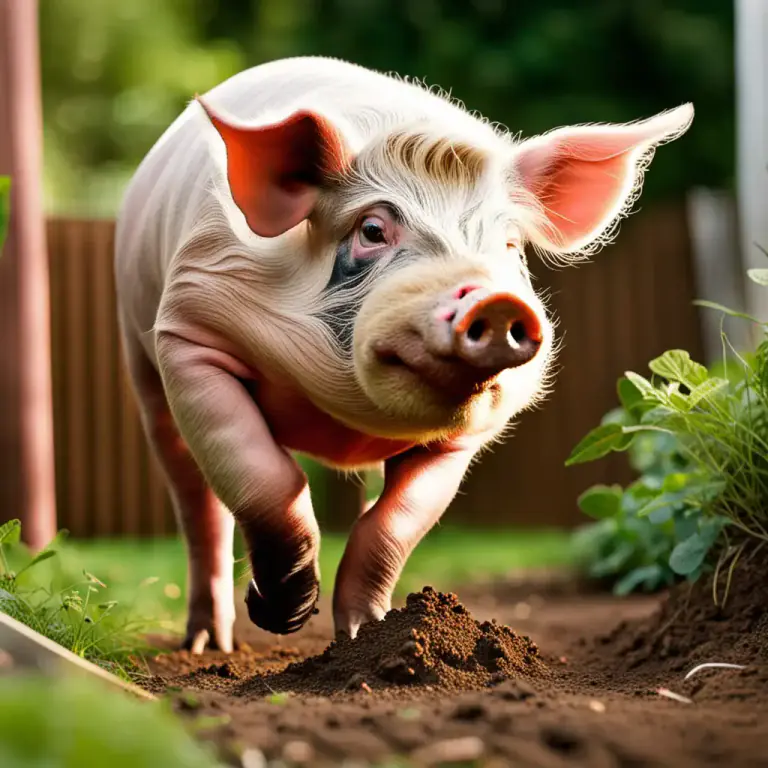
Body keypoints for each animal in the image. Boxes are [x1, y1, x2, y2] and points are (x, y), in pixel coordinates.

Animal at [114, 56, 693, 653]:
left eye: (510, 247)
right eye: (372, 229)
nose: (498, 301)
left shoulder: (469, 431)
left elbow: (394, 526)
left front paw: (365, 636)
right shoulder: (190, 328)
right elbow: (266, 478)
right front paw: (283, 616)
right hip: (141, 358)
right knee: (194, 499)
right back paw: (210, 645)